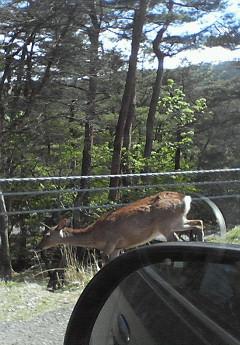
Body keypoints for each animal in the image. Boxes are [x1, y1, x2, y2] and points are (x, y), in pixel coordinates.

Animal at [36, 191, 203, 258]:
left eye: (47, 234)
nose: (37, 247)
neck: (95, 237)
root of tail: (185, 198)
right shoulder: (117, 247)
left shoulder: (111, 242)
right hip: (178, 220)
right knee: (198, 222)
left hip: (166, 224)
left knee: (176, 238)